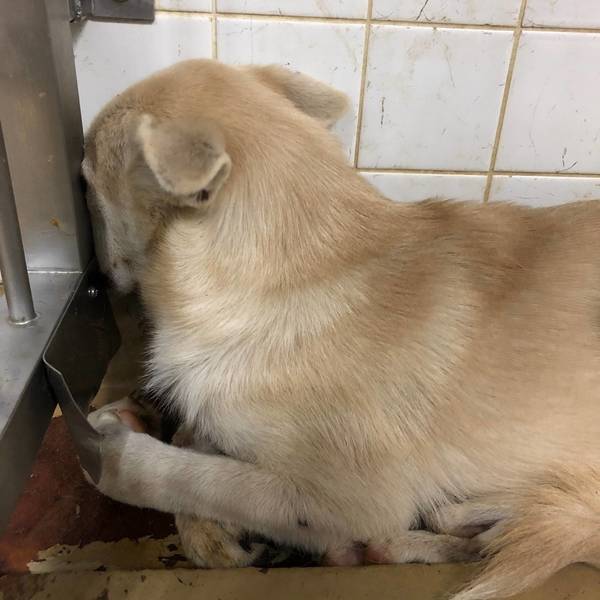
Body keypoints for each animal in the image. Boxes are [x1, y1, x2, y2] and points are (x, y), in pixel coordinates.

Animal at [82, 59, 600, 599]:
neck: (297, 272)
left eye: (86, 183)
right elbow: (197, 441)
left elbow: (204, 479)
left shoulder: (346, 501)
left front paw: (118, 457)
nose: (95, 281)